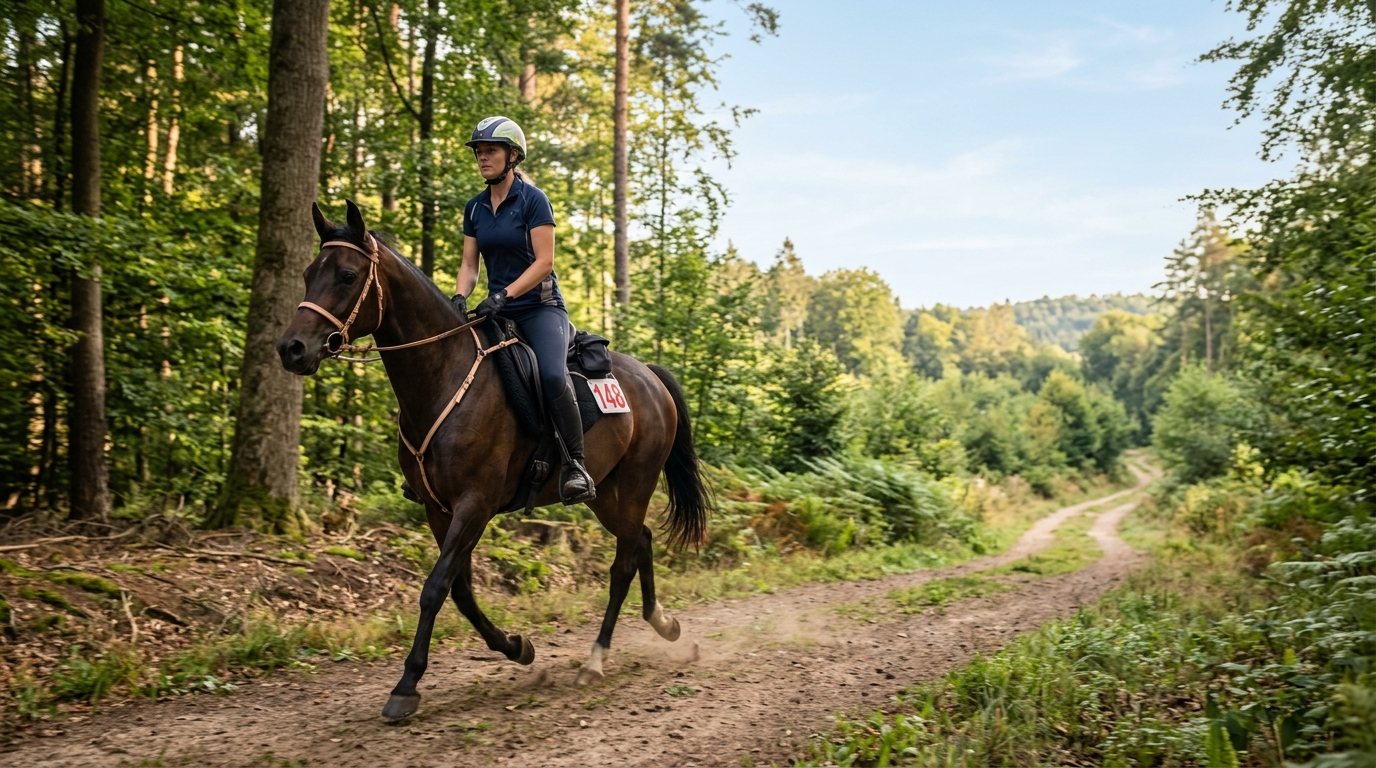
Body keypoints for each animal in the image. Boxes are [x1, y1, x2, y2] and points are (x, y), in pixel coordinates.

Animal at [276, 200, 711, 721]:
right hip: (605, 494)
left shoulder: (475, 504)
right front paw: (517, 647)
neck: (444, 374)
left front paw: (406, 686)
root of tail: (652, 377)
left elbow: (436, 587)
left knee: (623, 562)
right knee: (640, 539)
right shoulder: (438, 509)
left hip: (634, 483)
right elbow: (460, 590)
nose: (291, 349)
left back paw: (597, 658)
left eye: (346, 275)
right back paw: (662, 622)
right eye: (307, 274)